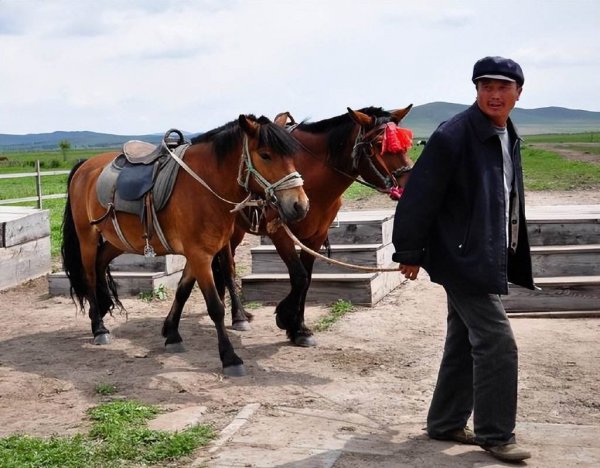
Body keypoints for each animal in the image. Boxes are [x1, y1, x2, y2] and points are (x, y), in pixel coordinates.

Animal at [62, 114, 310, 376]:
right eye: (265, 155)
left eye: (291, 156)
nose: (300, 205)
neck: (205, 186)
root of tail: (85, 166)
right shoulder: (200, 255)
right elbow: (215, 307)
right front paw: (230, 358)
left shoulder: (199, 254)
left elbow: (182, 291)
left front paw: (172, 334)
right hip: (87, 237)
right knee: (89, 275)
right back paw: (99, 328)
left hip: (117, 241)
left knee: (100, 264)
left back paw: (100, 310)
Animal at [159, 104, 412, 350]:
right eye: (378, 145)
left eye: (405, 144)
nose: (406, 184)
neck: (312, 175)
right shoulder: (280, 233)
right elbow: (298, 276)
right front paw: (287, 318)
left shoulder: (315, 237)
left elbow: (307, 279)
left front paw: (299, 328)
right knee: (228, 269)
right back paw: (238, 316)